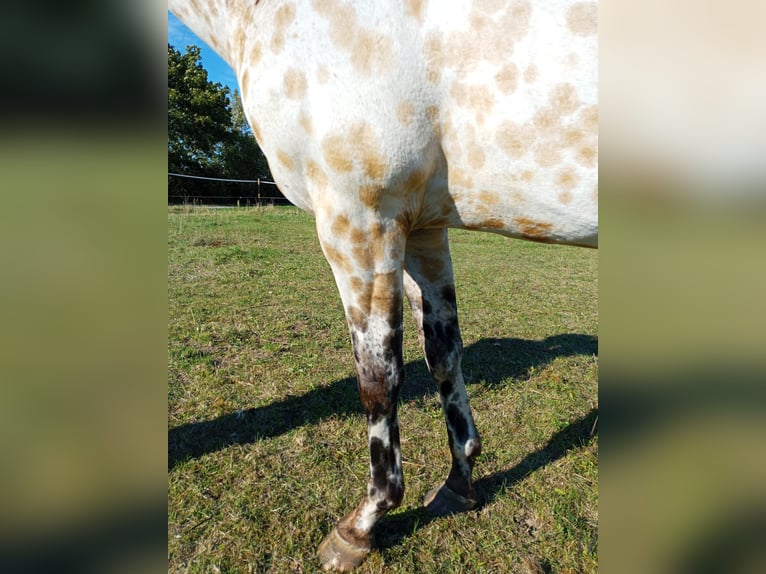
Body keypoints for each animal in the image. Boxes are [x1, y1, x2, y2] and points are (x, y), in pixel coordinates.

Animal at [170, 0, 600, 572]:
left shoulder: (361, 223)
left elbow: (379, 378)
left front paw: (365, 522)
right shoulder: (422, 231)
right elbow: (443, 355)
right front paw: (460, 482)